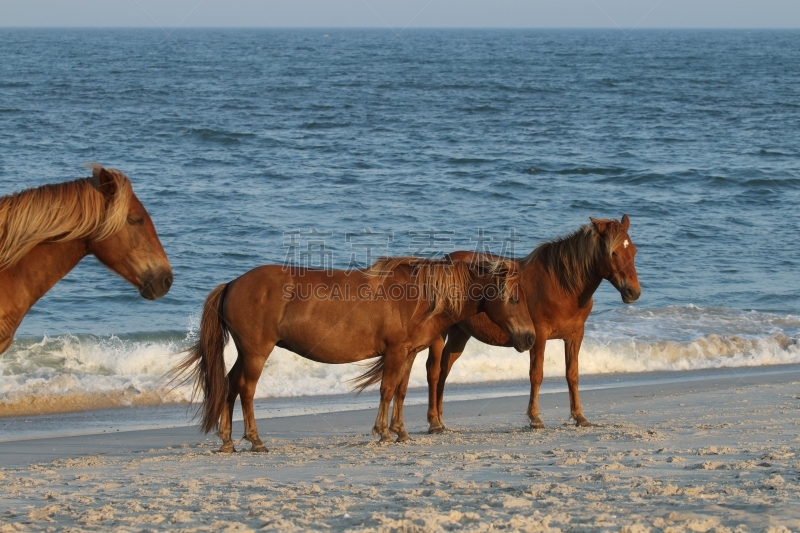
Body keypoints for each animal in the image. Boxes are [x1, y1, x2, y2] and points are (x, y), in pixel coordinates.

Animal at [171, 256, 536, 450]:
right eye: (514, 298)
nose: (530, 338)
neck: (419, 295)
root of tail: (232, 284)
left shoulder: (408, 354)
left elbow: (401, 392)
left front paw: (400, 431)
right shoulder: (395, 353)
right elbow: (386, 390)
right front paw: (383, 432)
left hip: (245, 353)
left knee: (229, 387)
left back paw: (228, 441)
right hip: (256, 352)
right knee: (245, 390)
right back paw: (255, 440)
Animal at [428, 215, 640, 432]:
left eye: (633, 251)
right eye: (613, 253)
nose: (633, 292)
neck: (562, 285)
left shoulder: (575, 336)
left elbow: (572, 374)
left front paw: (579, 416)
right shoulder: (539, 335)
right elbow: (536, 374)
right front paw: (535, 417)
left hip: (460, 334)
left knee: (444, 368)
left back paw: (440, 419)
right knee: (434, 370)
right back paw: (435, 421)